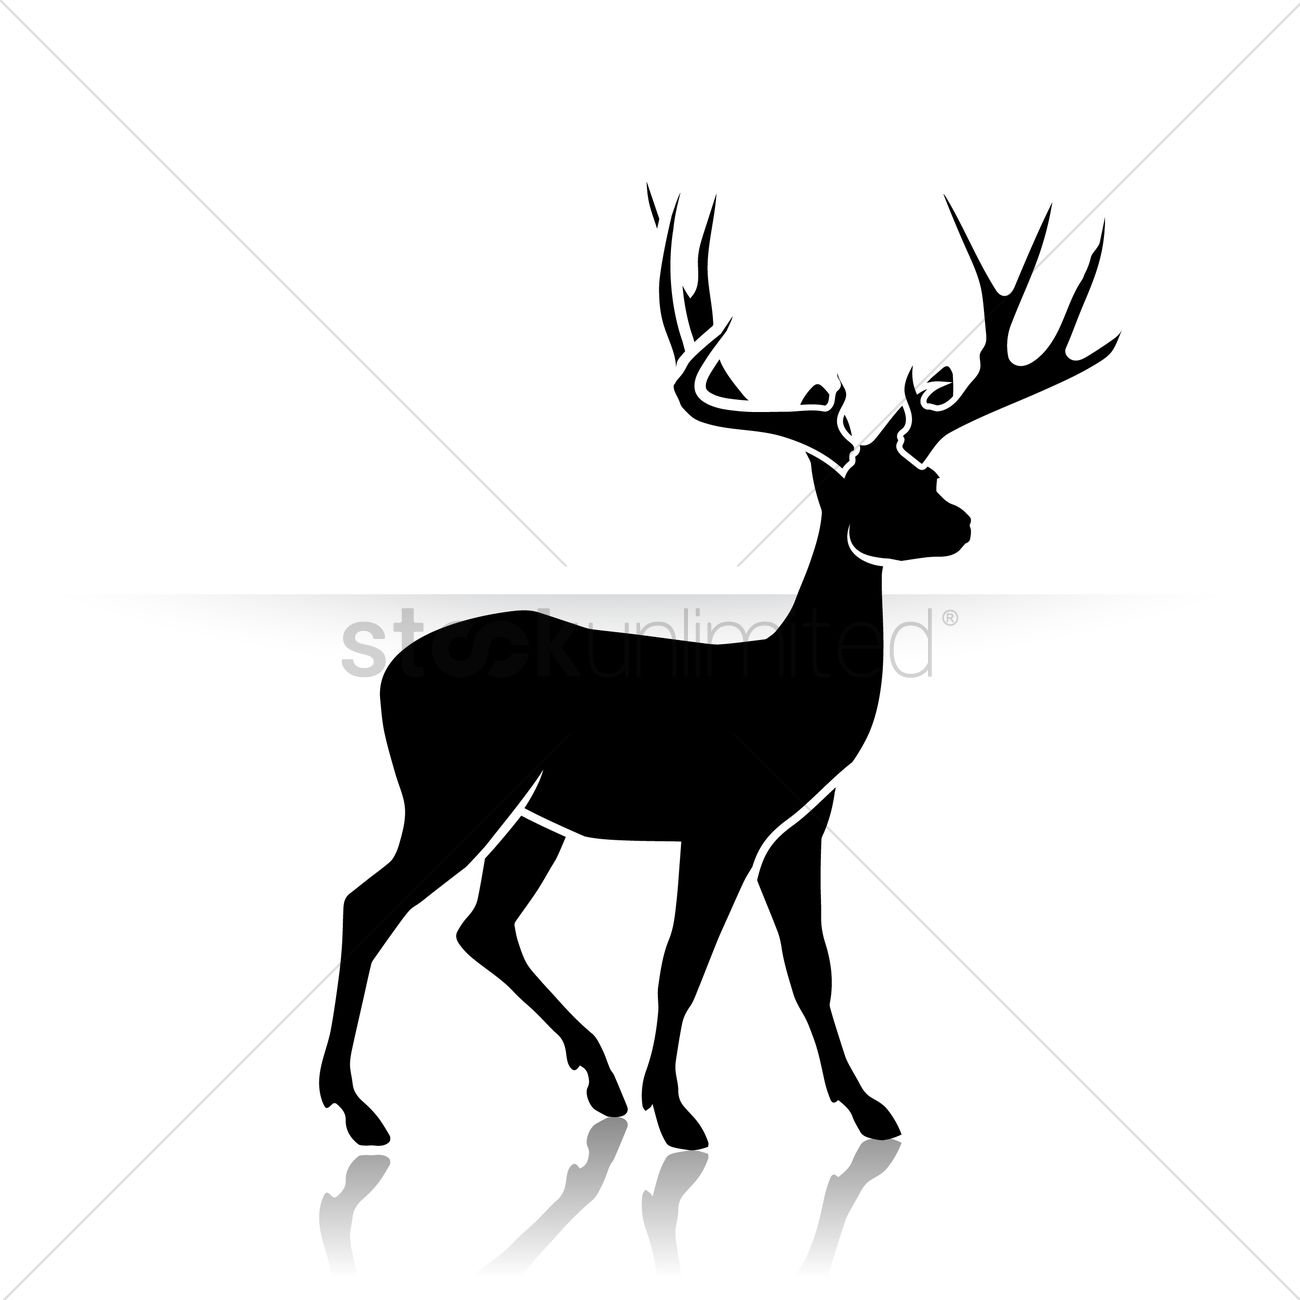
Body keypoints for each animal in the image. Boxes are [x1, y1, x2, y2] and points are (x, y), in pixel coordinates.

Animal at [319, 192, 1117, 1151]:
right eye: (869, 491)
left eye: (926, 473)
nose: (959, 523)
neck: (787, 697)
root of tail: (390, 674)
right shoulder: (724, 819)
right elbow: (682, 962)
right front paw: (678, 1113)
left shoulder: (800, 827)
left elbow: (812, 968)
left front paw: (867, 1107)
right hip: (460, 790)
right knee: (371, 904)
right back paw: (357, 1108)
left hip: (535, 816)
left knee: (483, 927)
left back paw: (597, 1081)